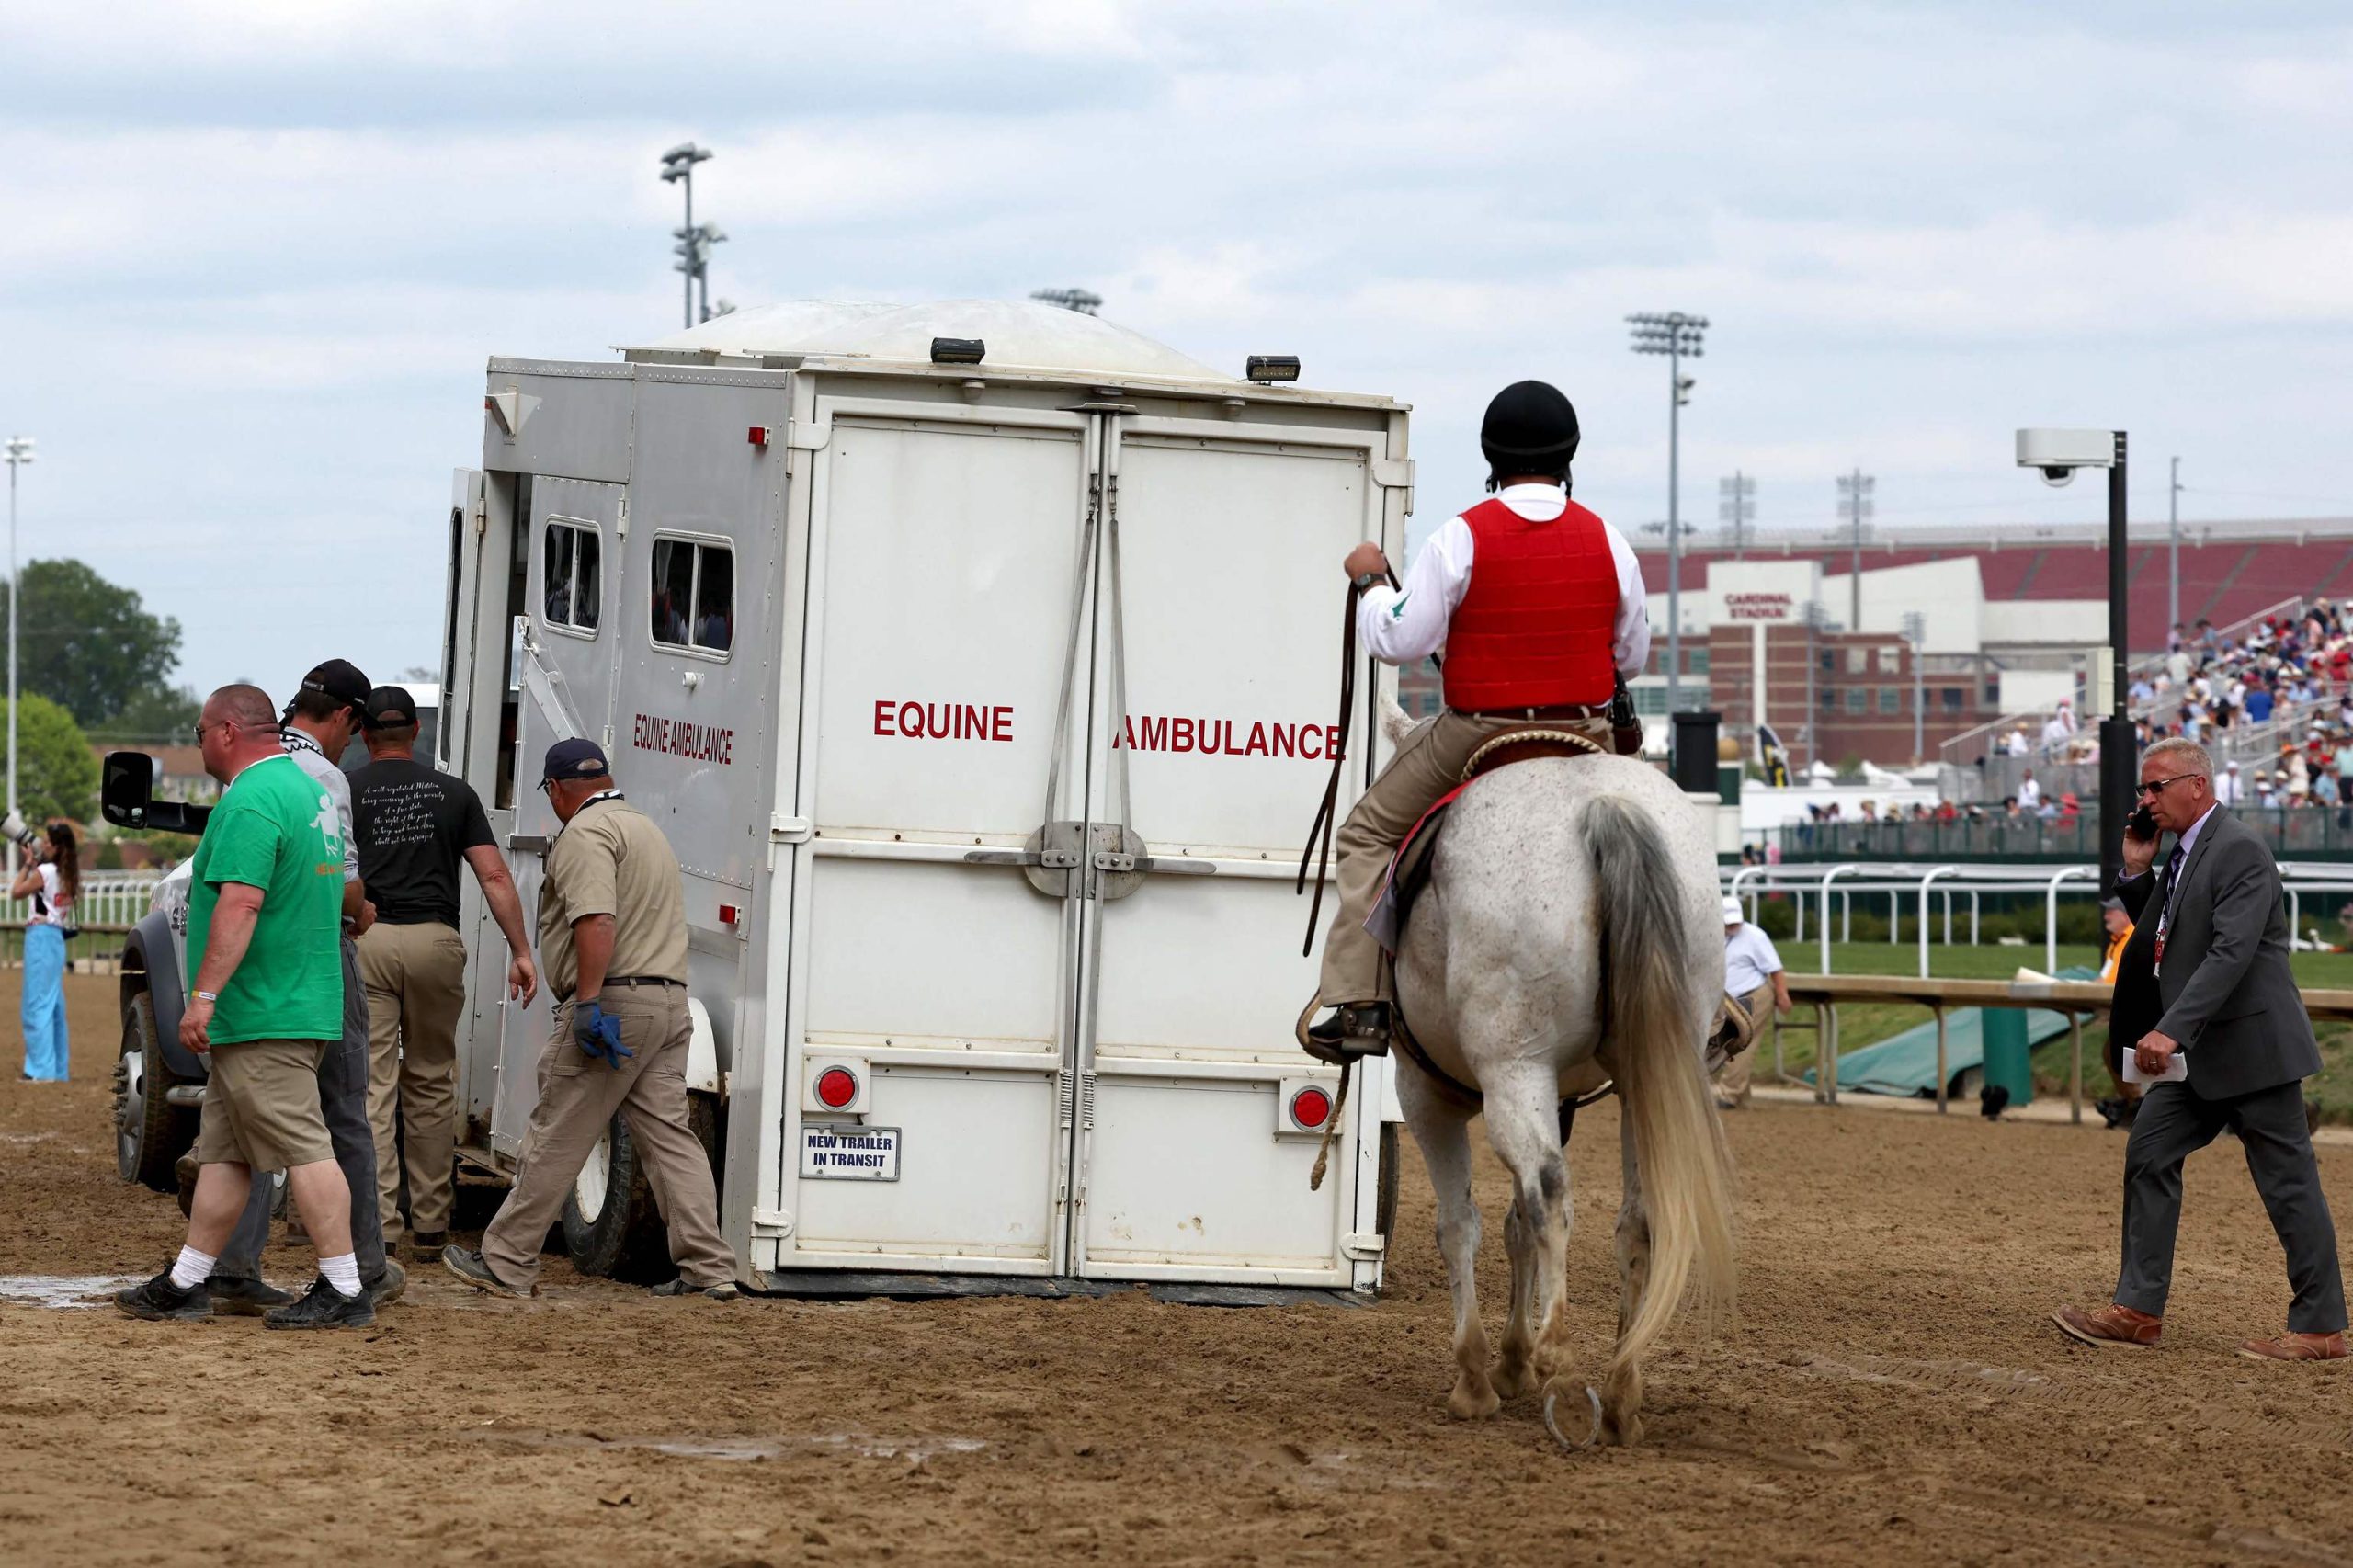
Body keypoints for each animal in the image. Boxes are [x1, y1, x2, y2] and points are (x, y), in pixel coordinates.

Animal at [1383, 706, 1741, 1440]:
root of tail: (1601, 805)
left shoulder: (1425, 1096)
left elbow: (1460, 1225)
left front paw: (1477, 1377)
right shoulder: (1559, 1103)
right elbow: (1515, 1223)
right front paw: (1512, 1362)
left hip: (1513, 1071)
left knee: (1549, 1190)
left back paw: (1567, 1375)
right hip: (1642, 1082)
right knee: (1637, 1215)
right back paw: (1622, 1388)